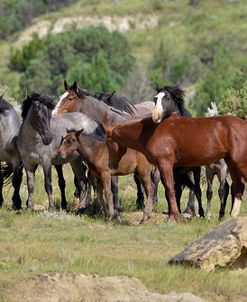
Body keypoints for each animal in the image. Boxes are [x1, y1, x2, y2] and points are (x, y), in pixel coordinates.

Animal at [104, 114, 247, 222]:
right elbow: (172, 190)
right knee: (239, 187)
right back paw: (232, 216)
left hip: (240, 163)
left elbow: (169, 189)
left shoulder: (165, 164)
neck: (150, 132)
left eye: (108, 142)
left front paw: (173, 217)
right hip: (231, 164)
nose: (111, 165)